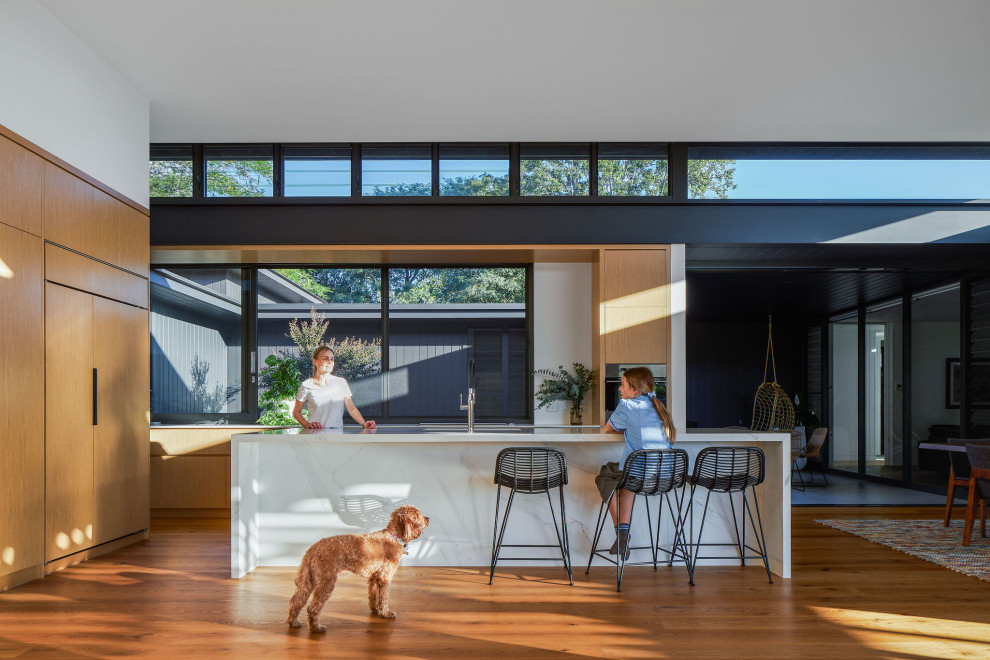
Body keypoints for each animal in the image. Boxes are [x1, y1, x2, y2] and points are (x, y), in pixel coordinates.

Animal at [284, 506, 428, 636]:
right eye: (419, 515)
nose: (428, 518)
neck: (392, 536)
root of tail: (313, 548)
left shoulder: (374, 577)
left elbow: (373, 595)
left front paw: (375, 610)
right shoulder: (385, 576)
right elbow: (384, 597)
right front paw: (386, 613)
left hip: (309, 579)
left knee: (296, 600)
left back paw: (293, 622)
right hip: (326, 580)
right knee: (312, 608)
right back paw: (316, 628)